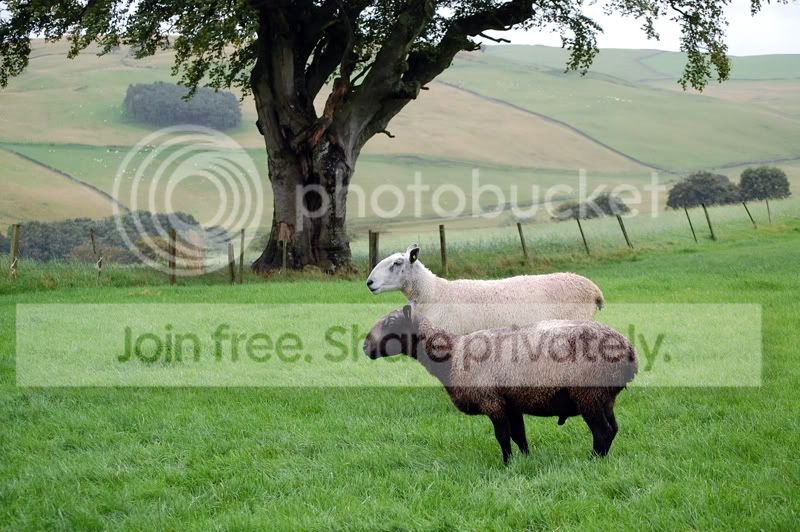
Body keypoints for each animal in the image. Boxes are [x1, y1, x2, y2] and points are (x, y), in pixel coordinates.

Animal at [363, 304, 638, 463]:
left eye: (390, 322)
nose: (365, 346)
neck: (453, 355)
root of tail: (629, 352)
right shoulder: (511, 402)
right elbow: (519, 435)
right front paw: (526, 460)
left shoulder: (491, 400)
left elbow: (503, 436)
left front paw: (507, 465)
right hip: (604, 396)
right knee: (613, 429)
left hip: (588, 393)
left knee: (602, 431)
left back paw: (593, 461)